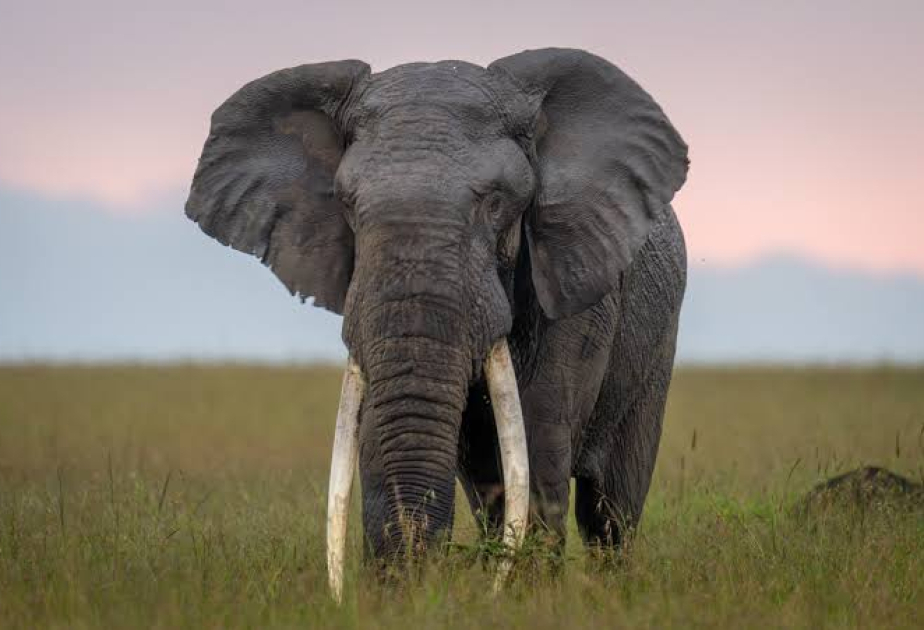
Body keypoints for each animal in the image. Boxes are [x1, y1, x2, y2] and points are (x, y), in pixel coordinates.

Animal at [185, 48, 689, 597]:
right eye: (347, 205)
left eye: (496, 203)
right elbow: (380, 430)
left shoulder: (575, 284)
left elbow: (539, 436)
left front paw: (522, 596)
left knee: (611, 506)